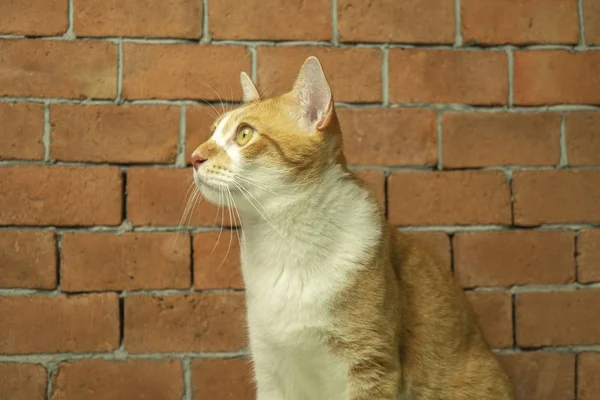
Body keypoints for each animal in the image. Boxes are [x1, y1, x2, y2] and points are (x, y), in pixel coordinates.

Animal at [190, 56, 512, 400]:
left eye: (244, 134)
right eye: (213, 133)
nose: (195, 157)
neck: (285, 239)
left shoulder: (372, 364)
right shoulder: (270, 370)